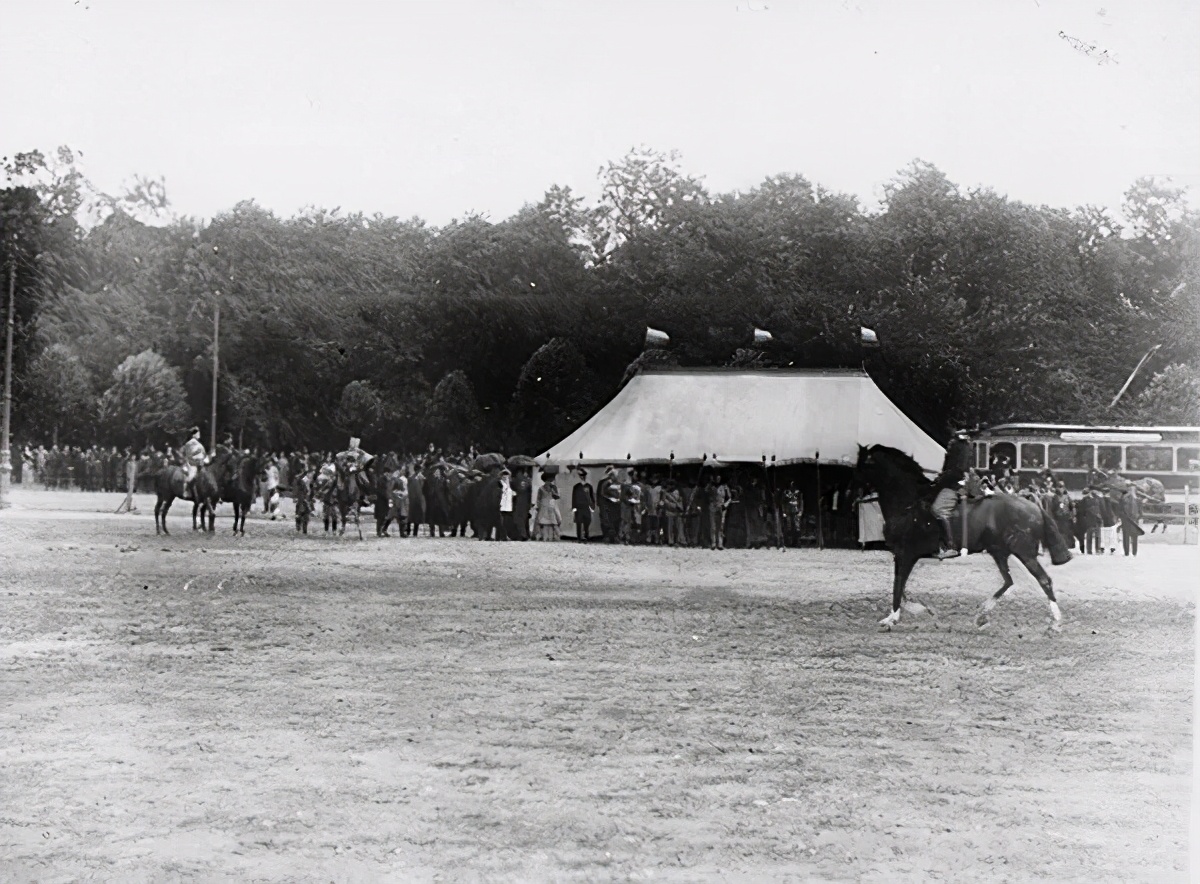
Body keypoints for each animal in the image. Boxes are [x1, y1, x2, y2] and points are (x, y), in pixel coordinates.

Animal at [854, 443, 1070, 633]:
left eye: (862, 466)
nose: (852, 491)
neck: (908, 503)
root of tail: (1035, 507)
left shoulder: (904, 554)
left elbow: (898, 586)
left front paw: (893, 619)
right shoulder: (903, 556)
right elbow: (902, 588)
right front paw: (915, 611)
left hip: (1024, 552)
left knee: (1044, 580)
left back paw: (1056, 624)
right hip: (999, 552)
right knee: (1008, 581)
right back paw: (981, 616)